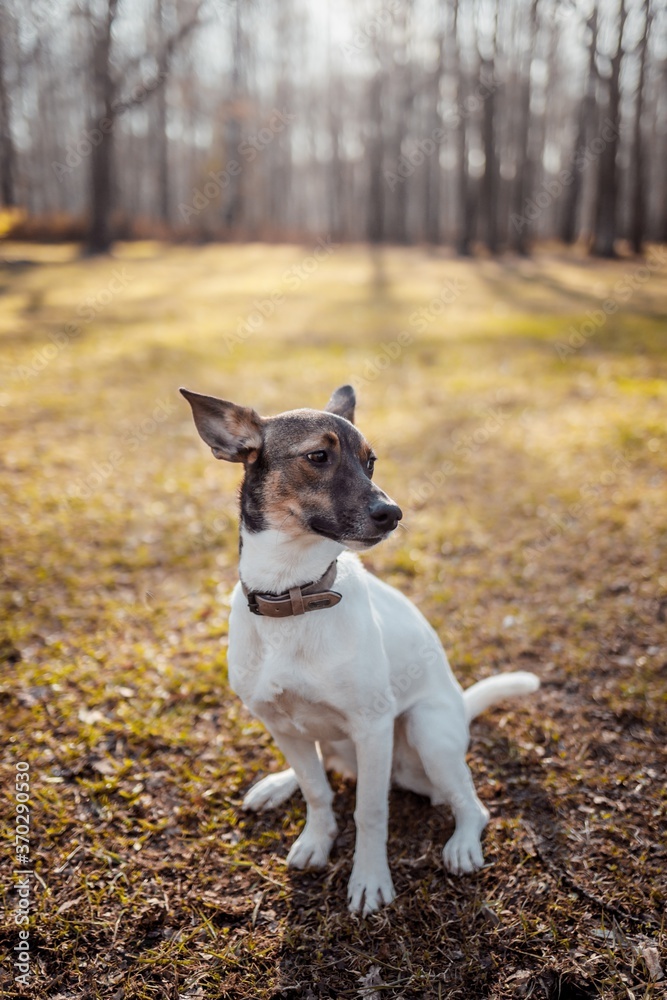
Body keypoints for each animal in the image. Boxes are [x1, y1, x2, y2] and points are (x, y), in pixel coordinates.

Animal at [180, 382, 540, 916]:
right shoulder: (277, 722)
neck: (295, 595)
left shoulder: (372, 728)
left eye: (371, 461)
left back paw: (461, 844)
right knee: (322, 766)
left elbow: (369, 812)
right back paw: (277, 784)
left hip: (428, 731)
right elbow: (316, 791)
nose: (393, 513)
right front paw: (317, 839)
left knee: (471, 804)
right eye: (318, 456)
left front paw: (369, 879)